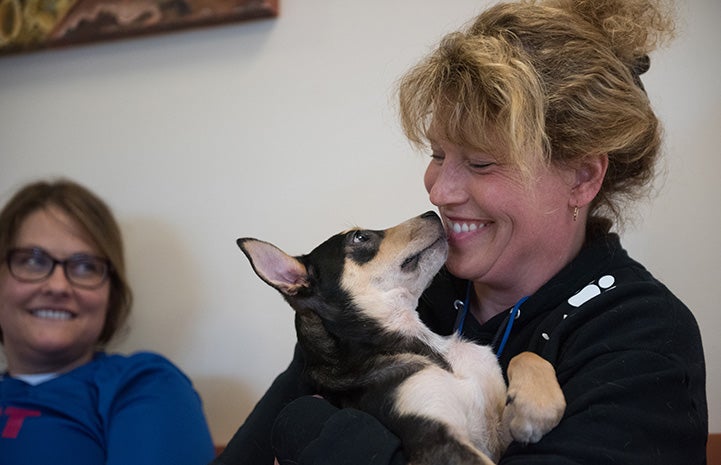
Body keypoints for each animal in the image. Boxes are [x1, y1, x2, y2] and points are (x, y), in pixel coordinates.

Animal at [239, 211, 564, 464]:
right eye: (359, 238)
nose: (432, 213)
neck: (431, 349)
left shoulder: (496, 434)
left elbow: (526, 356)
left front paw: (537, 408)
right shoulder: (435, 440)